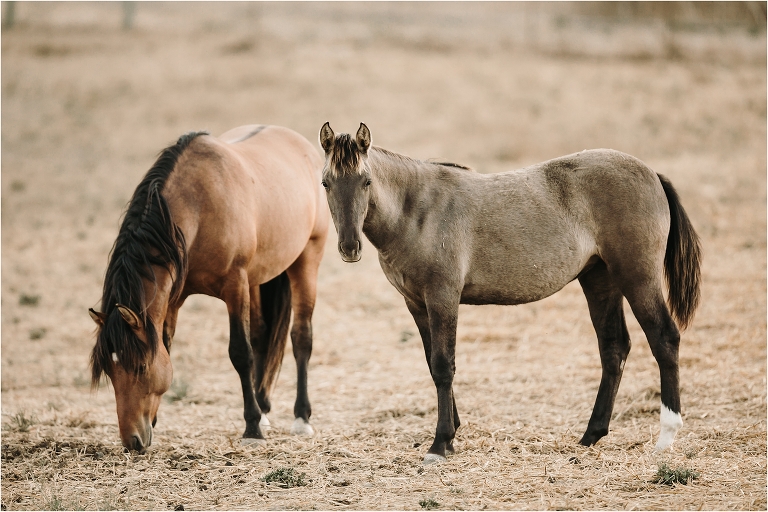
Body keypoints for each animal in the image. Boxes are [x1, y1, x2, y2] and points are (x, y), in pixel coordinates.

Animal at [89, 124, 329, 453]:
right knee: (262, 334)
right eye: (110, 372)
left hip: (306, 260)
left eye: (140, 367)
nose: (132, 442)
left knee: (301, 337)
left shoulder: (235, 285)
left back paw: (301, 418)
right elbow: (168, 347)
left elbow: (240, 352)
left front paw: (252, 427)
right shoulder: (174, 300)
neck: (199, 207)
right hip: (257, 279)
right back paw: (265, 408)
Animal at [318, 122, 701, 464]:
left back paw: (665, 438)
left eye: (367, 181)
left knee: (663, 339)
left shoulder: (442, 298)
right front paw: (452, 431)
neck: (418, 212)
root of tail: (652, 174)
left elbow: (443, 366)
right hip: (599, 280)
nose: (349, 247)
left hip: (637, 278)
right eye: (326, 183)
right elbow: (432, 364)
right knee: (614, 348)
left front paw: (441, 443)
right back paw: (590, 436)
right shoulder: (416, 304)